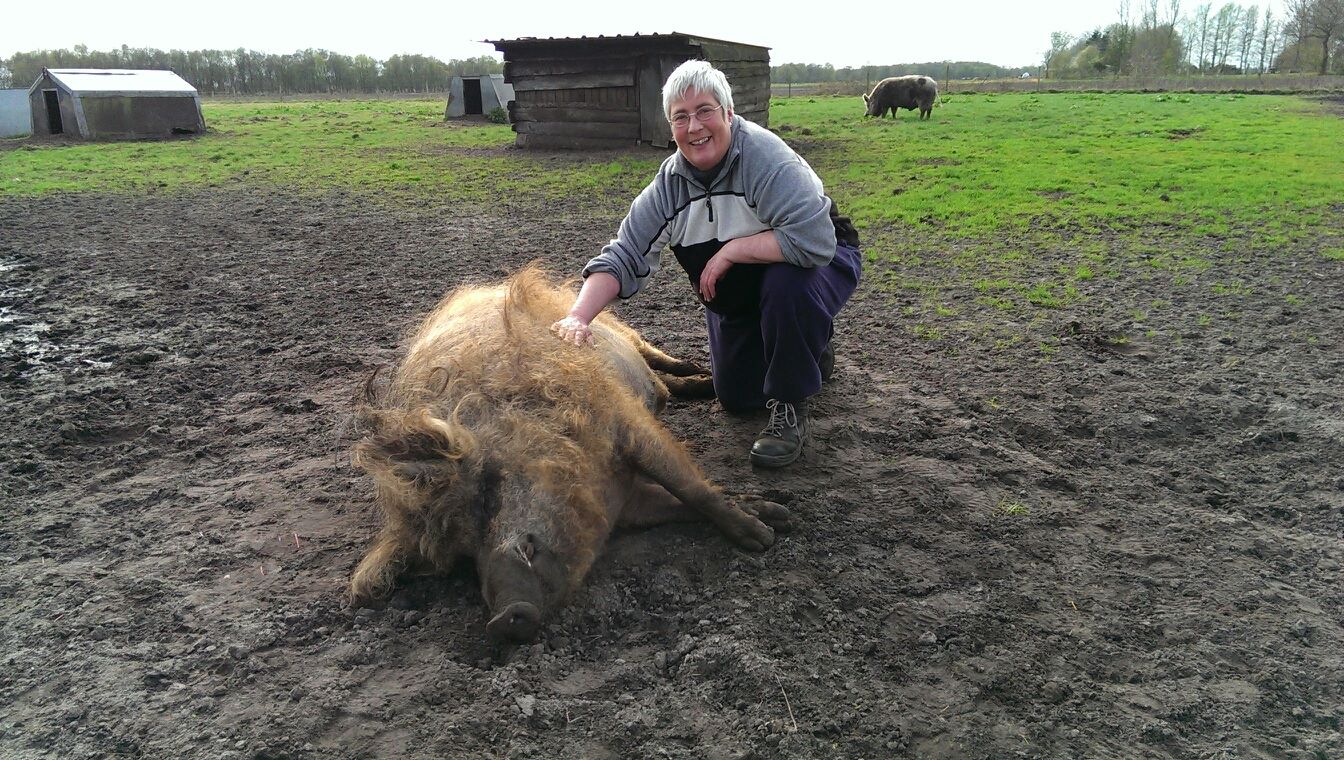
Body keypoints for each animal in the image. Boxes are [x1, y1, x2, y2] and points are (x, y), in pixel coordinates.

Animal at [349, 264, 784, 640]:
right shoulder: (630, 504)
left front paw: (763, 539)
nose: (501, 620)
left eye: (487, 493)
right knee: (663, 385)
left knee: (657, 358)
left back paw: (703, 378)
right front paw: (778, 514)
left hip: (621, 330)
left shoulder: (621, 418)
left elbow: (690, 487)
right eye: (463, 555)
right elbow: (678, 504)